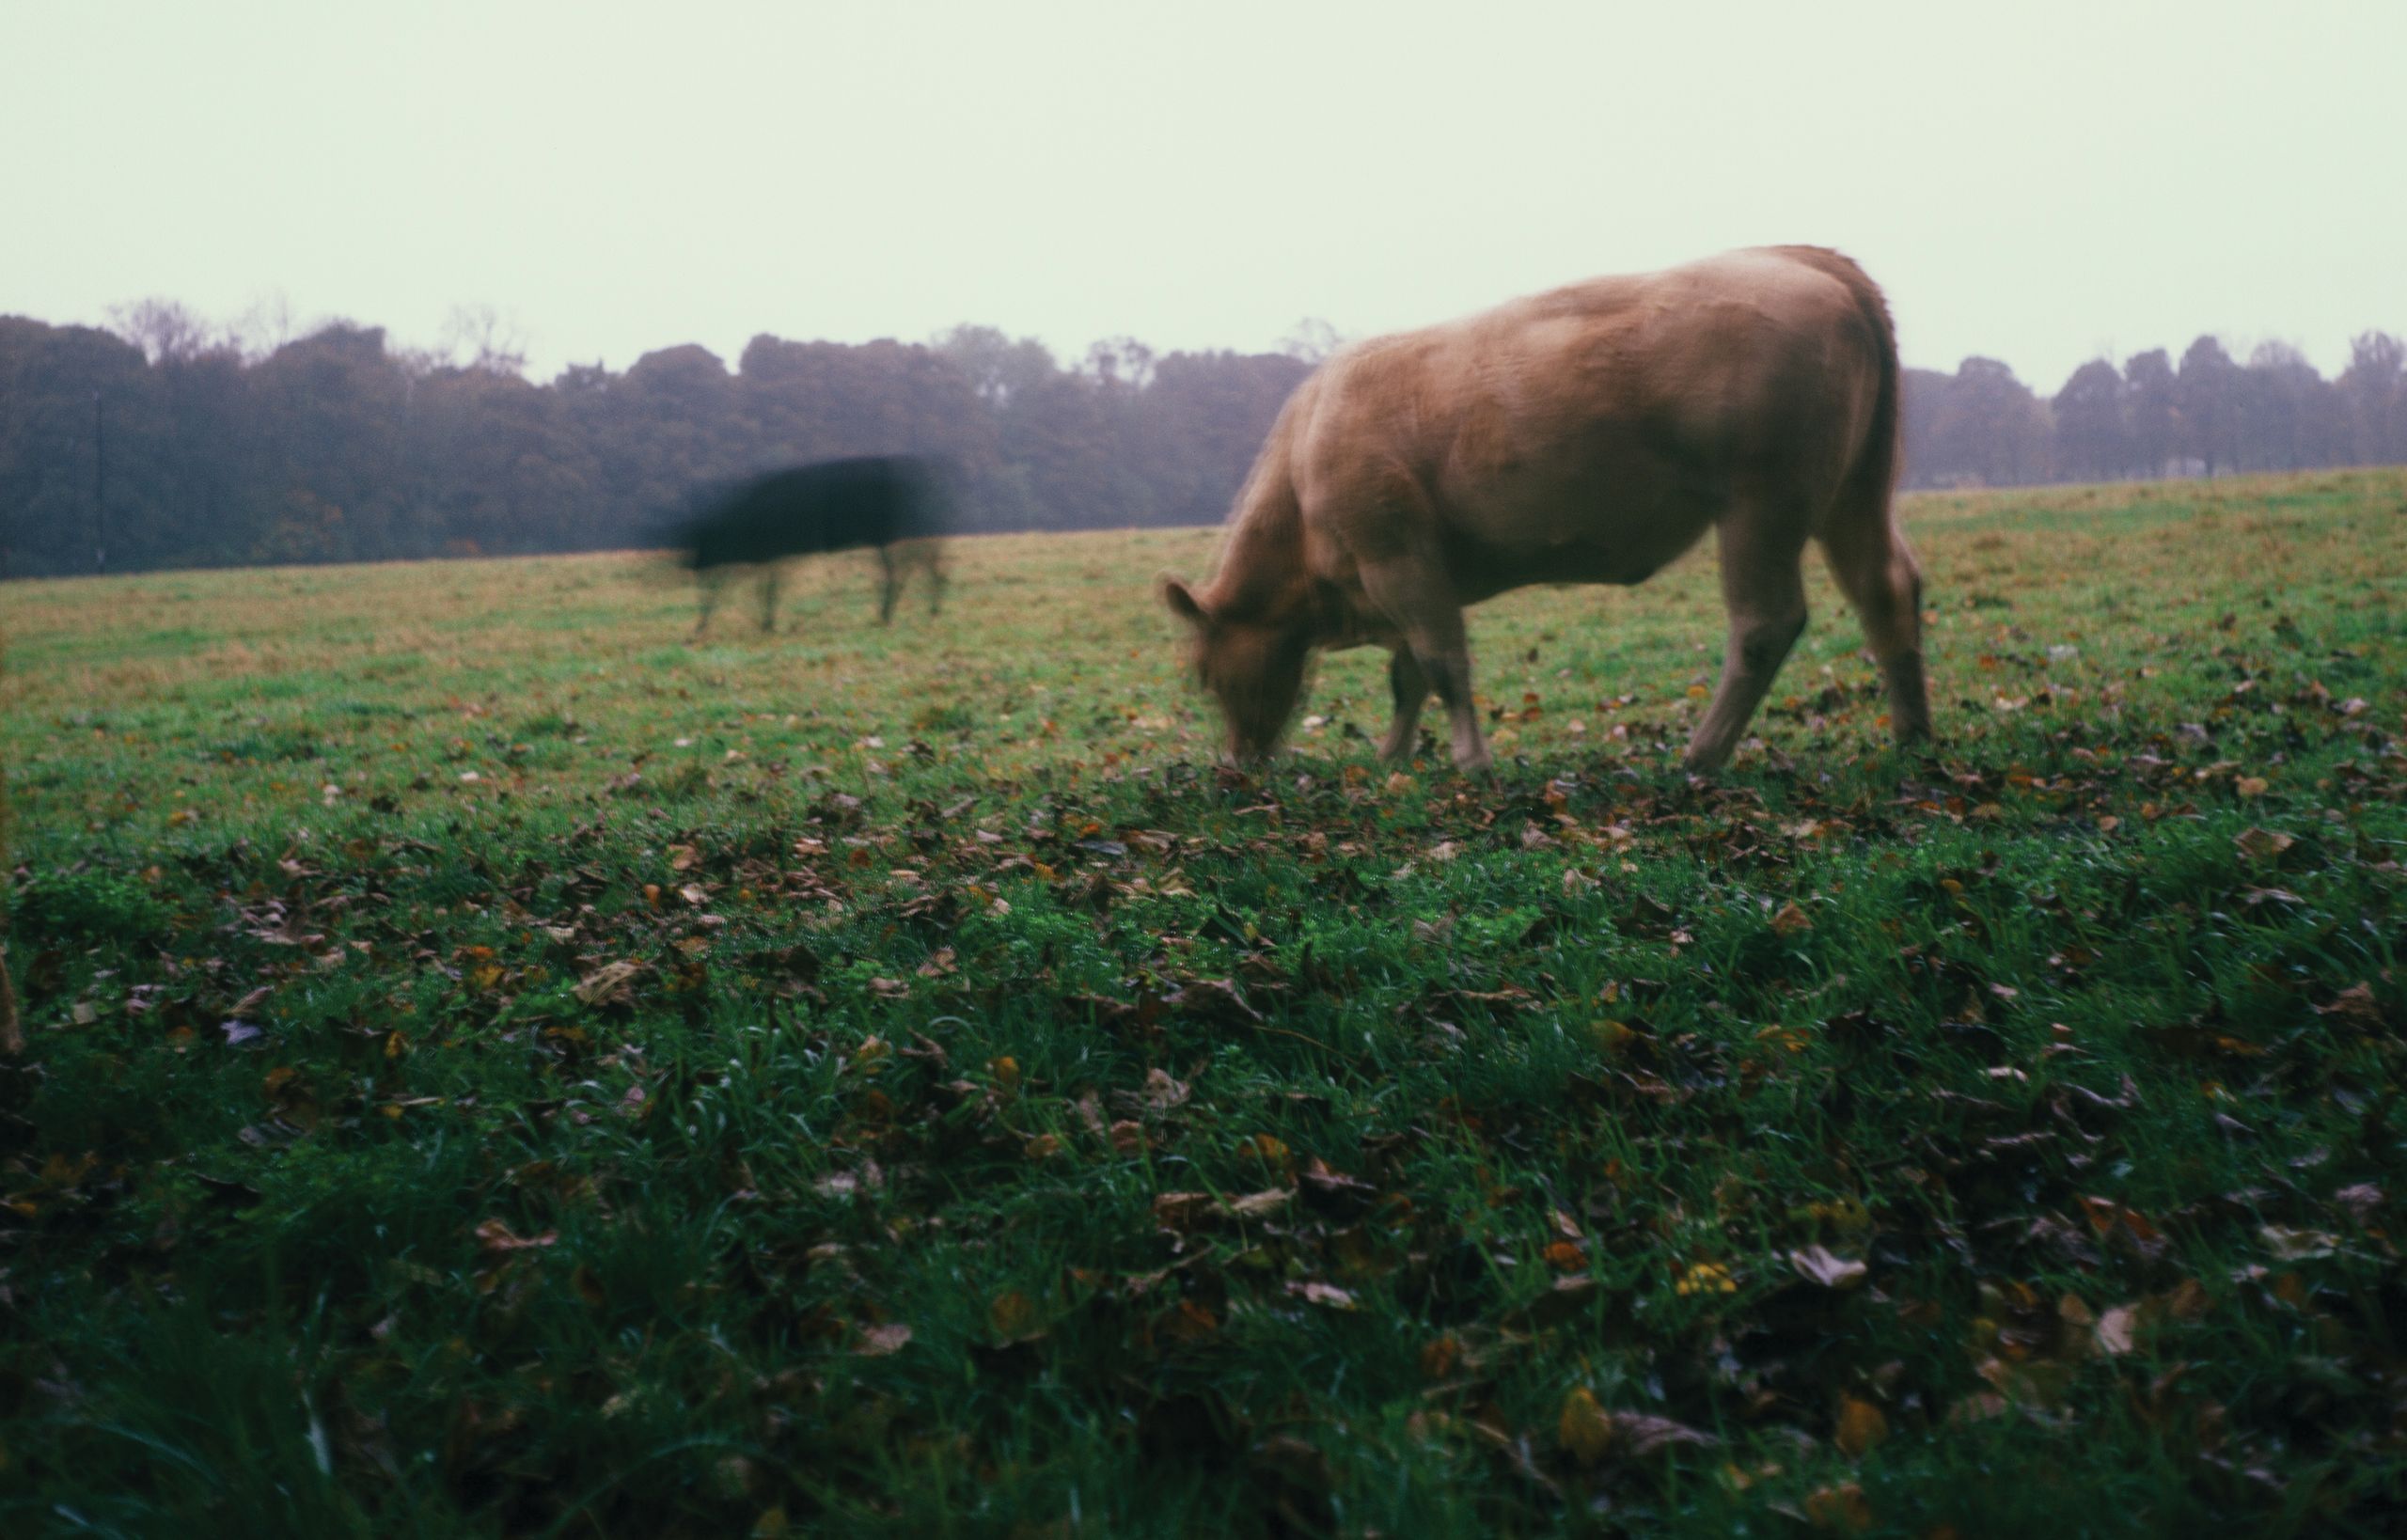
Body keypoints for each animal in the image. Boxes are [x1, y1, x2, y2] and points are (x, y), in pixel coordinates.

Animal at [674, 455, 952, 635]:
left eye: (705, 540)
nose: (687, 564)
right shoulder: (771, 556)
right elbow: (758, 589)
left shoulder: (772, 552)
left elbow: (764, 589)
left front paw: (767, 624)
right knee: (914, 566)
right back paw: (923, 609)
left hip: (889, 535)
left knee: (904, 569)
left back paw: (897, 613)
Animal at [1159, 246, 1932, 774]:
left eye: (1205, 675)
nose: (1239, 764)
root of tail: (1799, 256)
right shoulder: (1404, 576)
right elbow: (1408, 677)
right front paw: (1393, 759)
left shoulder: (1398, 559)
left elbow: (1441, 666)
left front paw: (1470, 764)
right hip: (1851, 494)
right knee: (1885, 589)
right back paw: (1912, 738)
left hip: (1763, 503)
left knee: (1765, 623)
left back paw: (1700, 756)